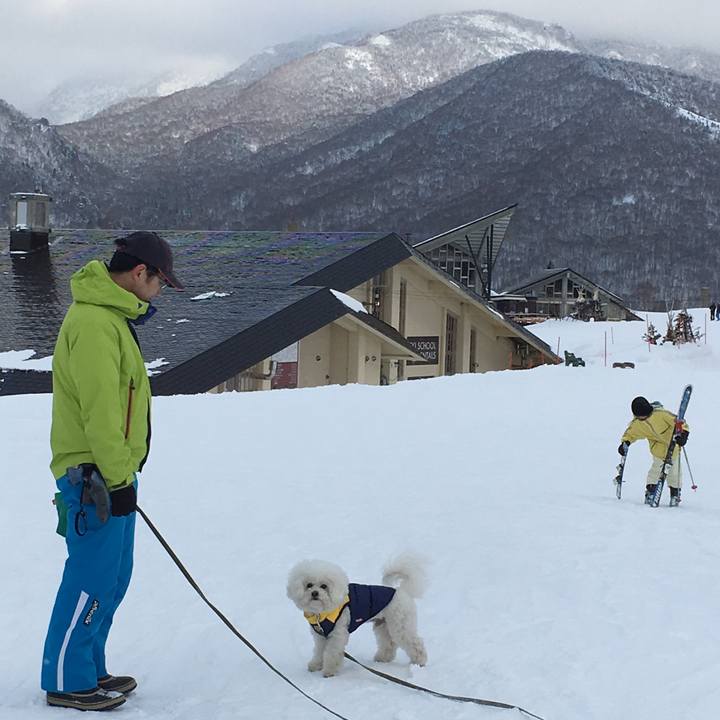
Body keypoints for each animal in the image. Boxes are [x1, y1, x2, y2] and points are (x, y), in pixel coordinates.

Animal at [286, 554, 427, 677]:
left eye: (324, 586)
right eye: (309, 585)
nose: (315, 593)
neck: (323, 613)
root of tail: (402, 591)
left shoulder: (338, 634)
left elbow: (332, 653)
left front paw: (329, 671)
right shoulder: (321, 636)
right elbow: (319, 651)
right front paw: (316, 666)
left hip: (400, 623)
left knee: (415, 643)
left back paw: (420, 661)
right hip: (383, 624)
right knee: (389, 643)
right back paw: (383, 658)